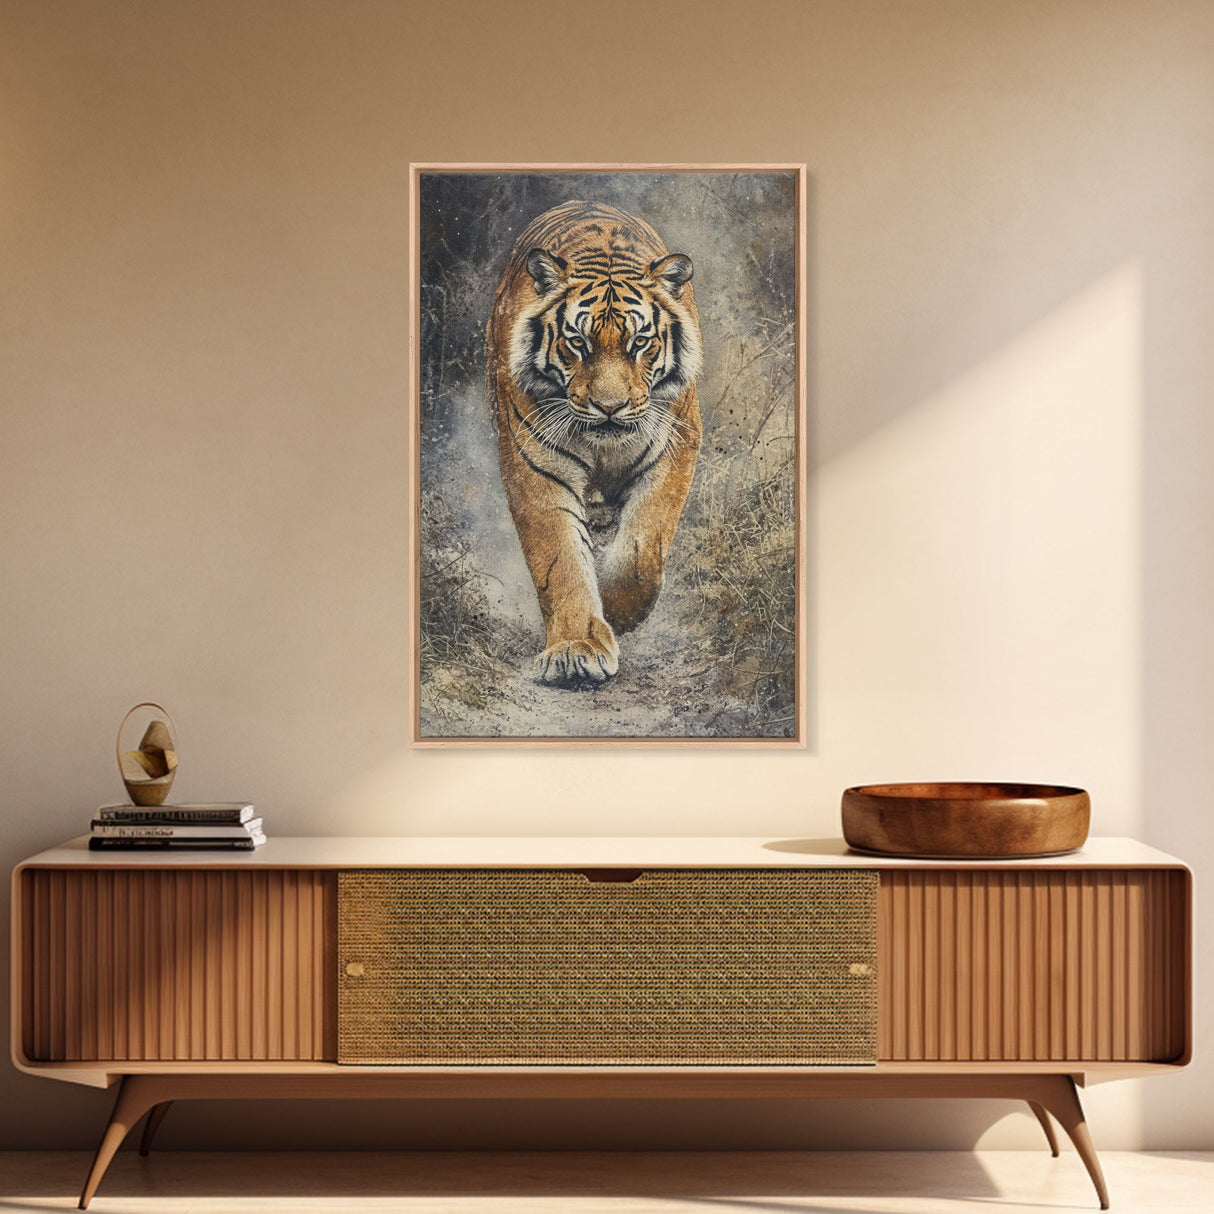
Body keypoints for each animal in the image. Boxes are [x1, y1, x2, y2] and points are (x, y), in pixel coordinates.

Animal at [485, 200, 703, 685]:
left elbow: (642, 551)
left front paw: (619, 614)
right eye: (577, 342)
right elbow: (561, 559)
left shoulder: (675, 446)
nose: (609, 406)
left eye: (639, 342)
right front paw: (575, 650)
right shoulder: (535, 465)